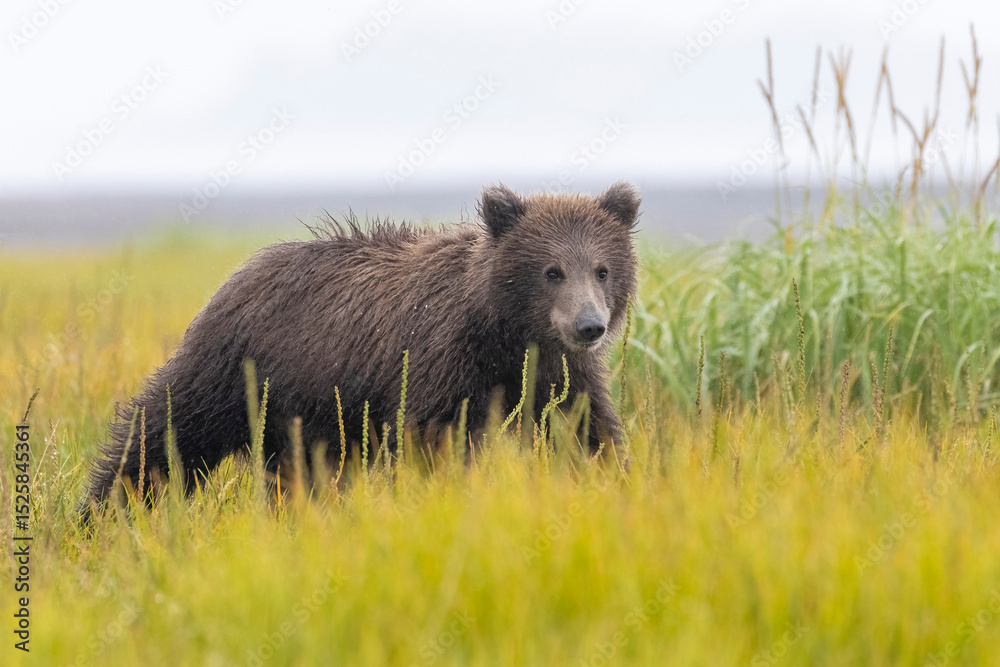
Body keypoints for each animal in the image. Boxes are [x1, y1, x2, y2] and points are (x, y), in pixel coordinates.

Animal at [84, 182, 640, 508]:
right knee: (166, 433)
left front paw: (617, 485)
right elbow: (430, 440)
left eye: (602, 269)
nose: (589, 325)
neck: (507, 333)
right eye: (552, 271)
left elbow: (589, 433)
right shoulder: (440, 363)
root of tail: (236, 275)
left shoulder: (559, 375)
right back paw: (106, 512)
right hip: (234, 368)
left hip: (300, 416)